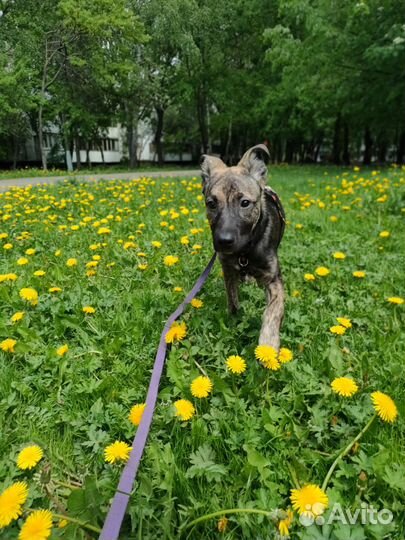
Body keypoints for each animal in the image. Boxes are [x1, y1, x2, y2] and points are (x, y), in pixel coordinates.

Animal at [201, 143, 284, 350]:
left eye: (245, 203)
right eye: (211, 204)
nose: (223, 241)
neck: (245, 252)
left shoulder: (274, 280)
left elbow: (273, 311)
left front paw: (268, 344)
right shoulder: (229, 272)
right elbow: (232, 301)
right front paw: (234, 319)